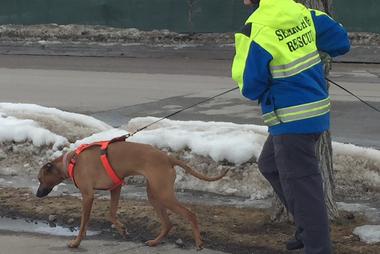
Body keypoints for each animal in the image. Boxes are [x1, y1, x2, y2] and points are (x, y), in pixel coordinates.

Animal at [35, 139, 227, 248]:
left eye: (39, 178)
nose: (37, 194)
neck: (71, 162)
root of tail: (168, 158)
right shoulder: (115, 188)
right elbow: (112, 214)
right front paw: (122, 229)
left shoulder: (88, 196)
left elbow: (83, 224)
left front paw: (76, 243)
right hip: (154, 194)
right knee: (167, 223)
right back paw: (154, 242)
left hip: (163, 194)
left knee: (190, 214)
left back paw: (199, 243)